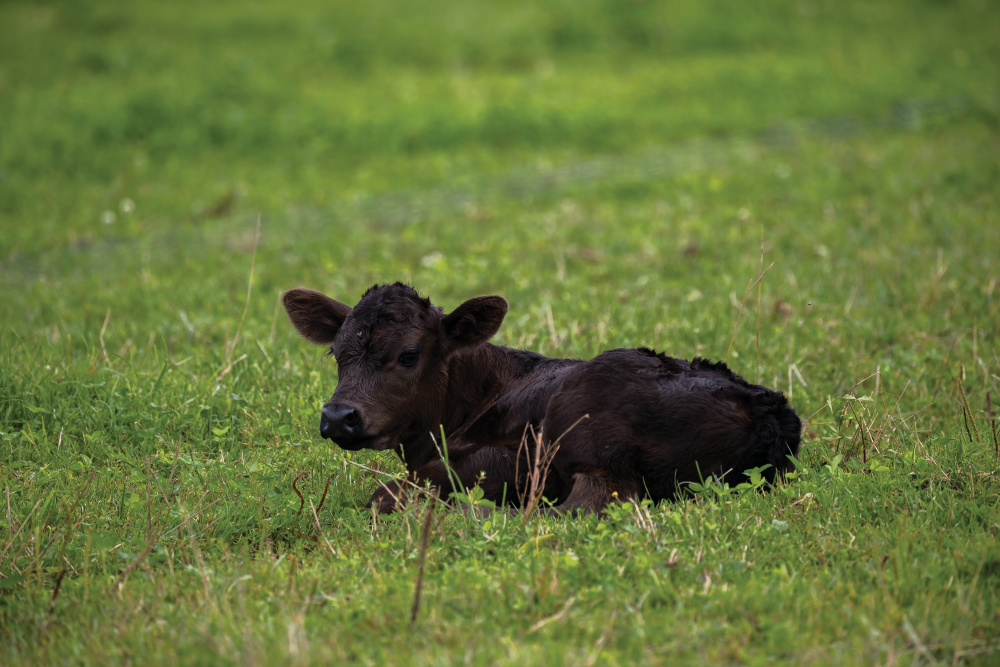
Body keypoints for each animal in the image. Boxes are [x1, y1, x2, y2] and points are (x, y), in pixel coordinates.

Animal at [282, 282, 801, 514]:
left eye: (408, 355)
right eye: (336, 353)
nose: (339, 416)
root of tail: (767, 409)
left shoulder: (514, 457)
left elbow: (386, 493)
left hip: (587, 438)